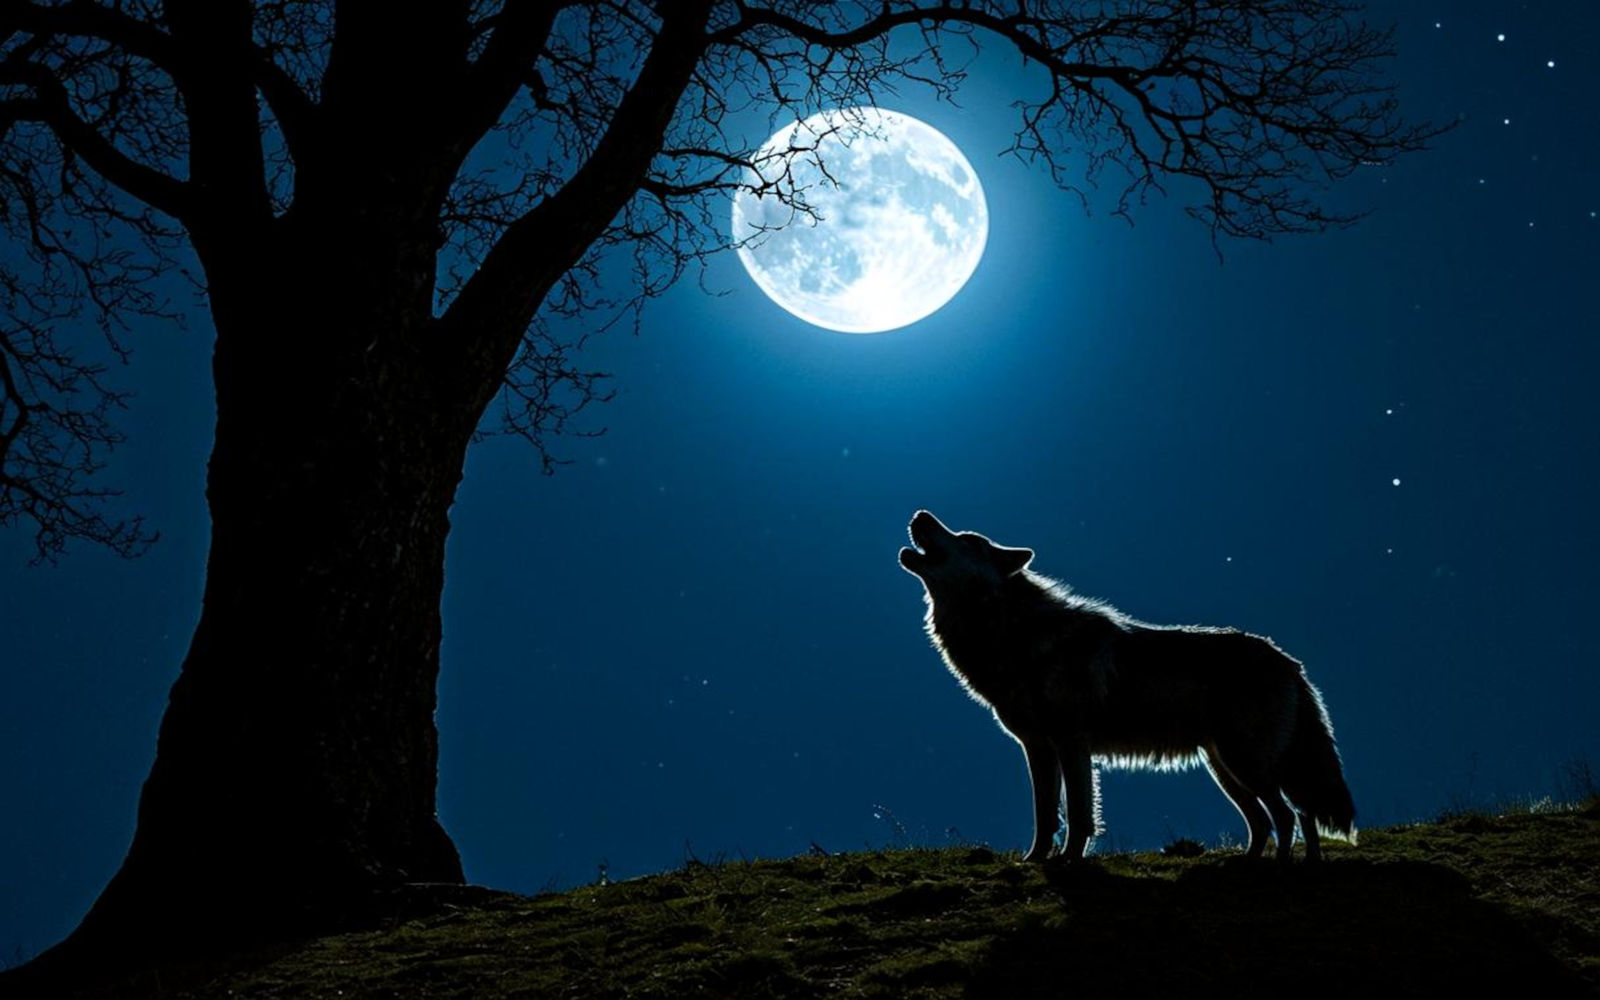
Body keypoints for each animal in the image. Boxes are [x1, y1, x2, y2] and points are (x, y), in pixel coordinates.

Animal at [899, 510, 1355, 863]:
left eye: (967, 540)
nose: (920, 514)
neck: (1012, 635)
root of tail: (1289, 661)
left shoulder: (1071, 744)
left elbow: (1078, 814)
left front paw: (1068, 862)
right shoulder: (1038, 747)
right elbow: (1046, 815)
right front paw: (1034, 861)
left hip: (1245, 764)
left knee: (1289, 815)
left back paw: (1280, 866)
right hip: (1226, 769)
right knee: (1275, 819)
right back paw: (1266, 863)